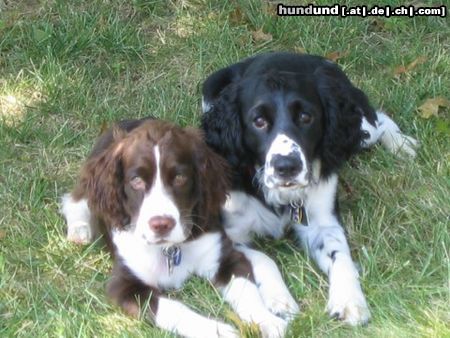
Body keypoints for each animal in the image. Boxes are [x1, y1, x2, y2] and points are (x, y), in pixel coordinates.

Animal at [59, 119, 298, 338]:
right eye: (136, 180)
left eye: (180, 177)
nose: (161, 224)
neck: (170, 250)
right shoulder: (125, 285)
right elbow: (173, 308)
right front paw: (217, 330)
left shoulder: (224, 257)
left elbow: (246, 291)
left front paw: (267, 321)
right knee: (74, 200)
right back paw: (79, 231)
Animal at [201, 52, 418, 324]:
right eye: (258, 121)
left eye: (306, 117)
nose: (286, 166)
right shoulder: (229, 234)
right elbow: (263, 258)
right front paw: (279, 299)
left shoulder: (322, 222)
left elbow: (341, 256)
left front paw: (349, 300)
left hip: (356, 131)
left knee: (376, 119)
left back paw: (401, 144)